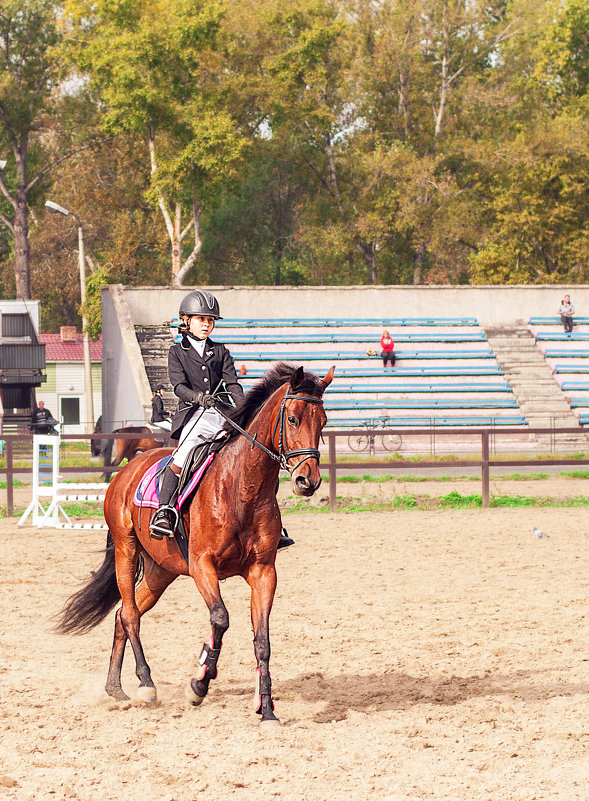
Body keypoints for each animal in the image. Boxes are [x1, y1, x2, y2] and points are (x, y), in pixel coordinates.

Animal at [57, 366, 334, 728]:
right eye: (292, 418)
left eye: (323, 421)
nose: (308, 481)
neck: (243, 486)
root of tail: (127, 470)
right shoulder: (203, 565)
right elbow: (220, 619)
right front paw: (199, 684)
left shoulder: (263, 572)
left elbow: (262, 641)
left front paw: (267, 710)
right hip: (125, 550)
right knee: (130, 615)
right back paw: (146, 684)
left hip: (161, 571)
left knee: (122, 615)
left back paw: (116, 689)